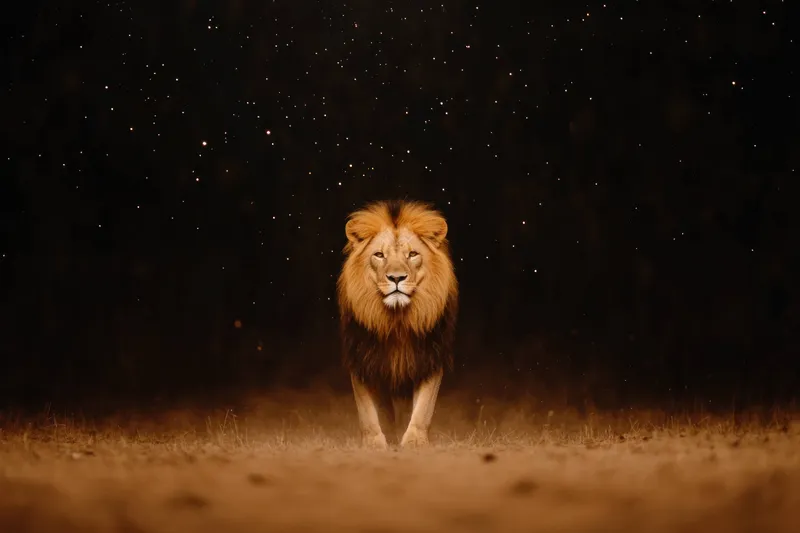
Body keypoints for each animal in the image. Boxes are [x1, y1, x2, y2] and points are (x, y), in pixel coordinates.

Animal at [336, 199, 458, 449]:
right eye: (379, 255)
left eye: (412, 254)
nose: (396, 278)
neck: (397, 321)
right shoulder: (362, 360)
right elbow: (368, 411)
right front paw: (374, 443)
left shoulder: (430, 359)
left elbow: (423, 408)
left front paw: (414, 441)